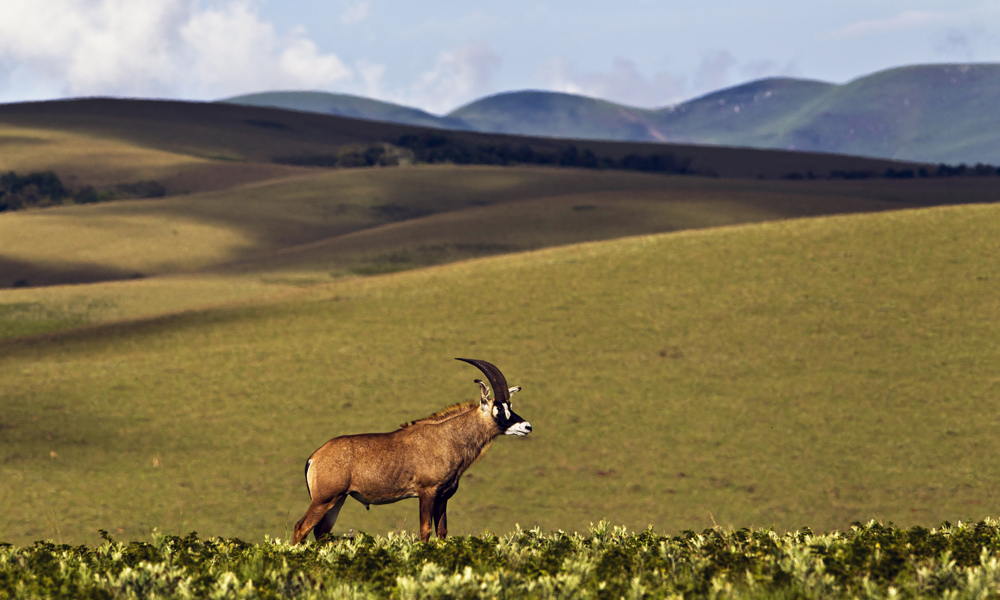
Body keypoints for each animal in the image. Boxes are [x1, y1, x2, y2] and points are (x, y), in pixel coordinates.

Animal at [292, 358, 532, 548]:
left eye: (510, 405)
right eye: (499, 408)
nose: (527, 426)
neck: (447, 438)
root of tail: (314, 457)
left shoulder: (443, 497)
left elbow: (442, 531)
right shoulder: (427, 492)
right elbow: (425, 530)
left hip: (337, 500)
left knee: (321, 532)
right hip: (324, 499)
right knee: (301, 527)